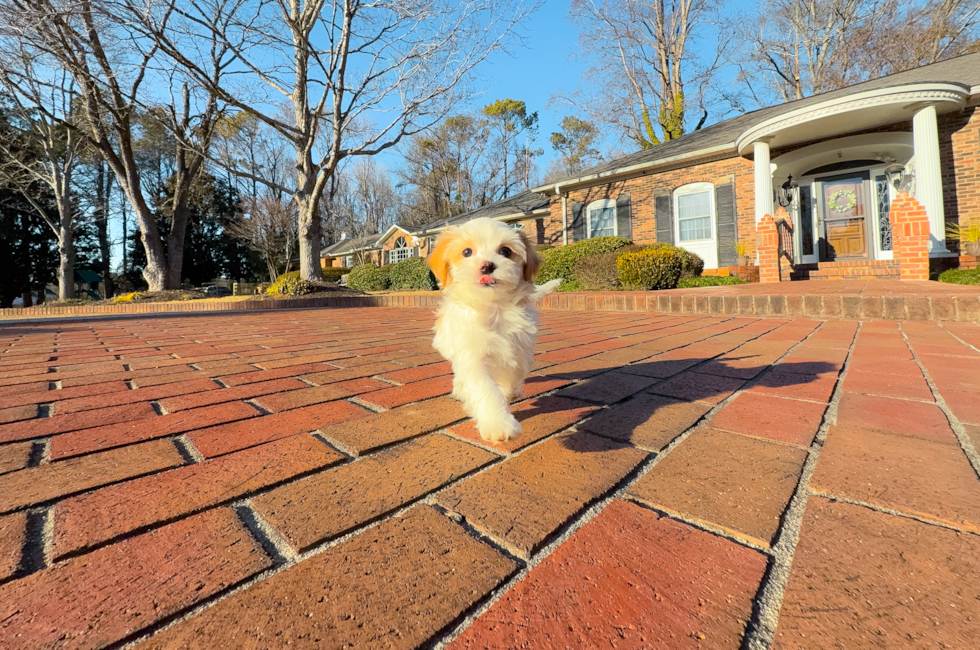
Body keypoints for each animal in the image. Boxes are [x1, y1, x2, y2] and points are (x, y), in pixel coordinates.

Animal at [426, 216, 560, 440]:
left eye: (505, 251)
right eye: (466, 252)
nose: (487, 266)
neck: (493, 307)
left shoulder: (520, 349)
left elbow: (514, 374)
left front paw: (509, 394)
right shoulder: (471, 355)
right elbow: (486, 388)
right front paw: (499, 424)